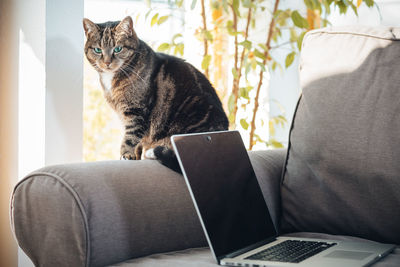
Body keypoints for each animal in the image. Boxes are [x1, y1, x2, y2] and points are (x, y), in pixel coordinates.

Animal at [82, 15, 228, 173]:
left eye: (118, 48)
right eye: (98, 50)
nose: (107, 62)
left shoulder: (136, 111)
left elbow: (130, 137)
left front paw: (126, 155)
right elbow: (138, 141)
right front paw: (135, 157)